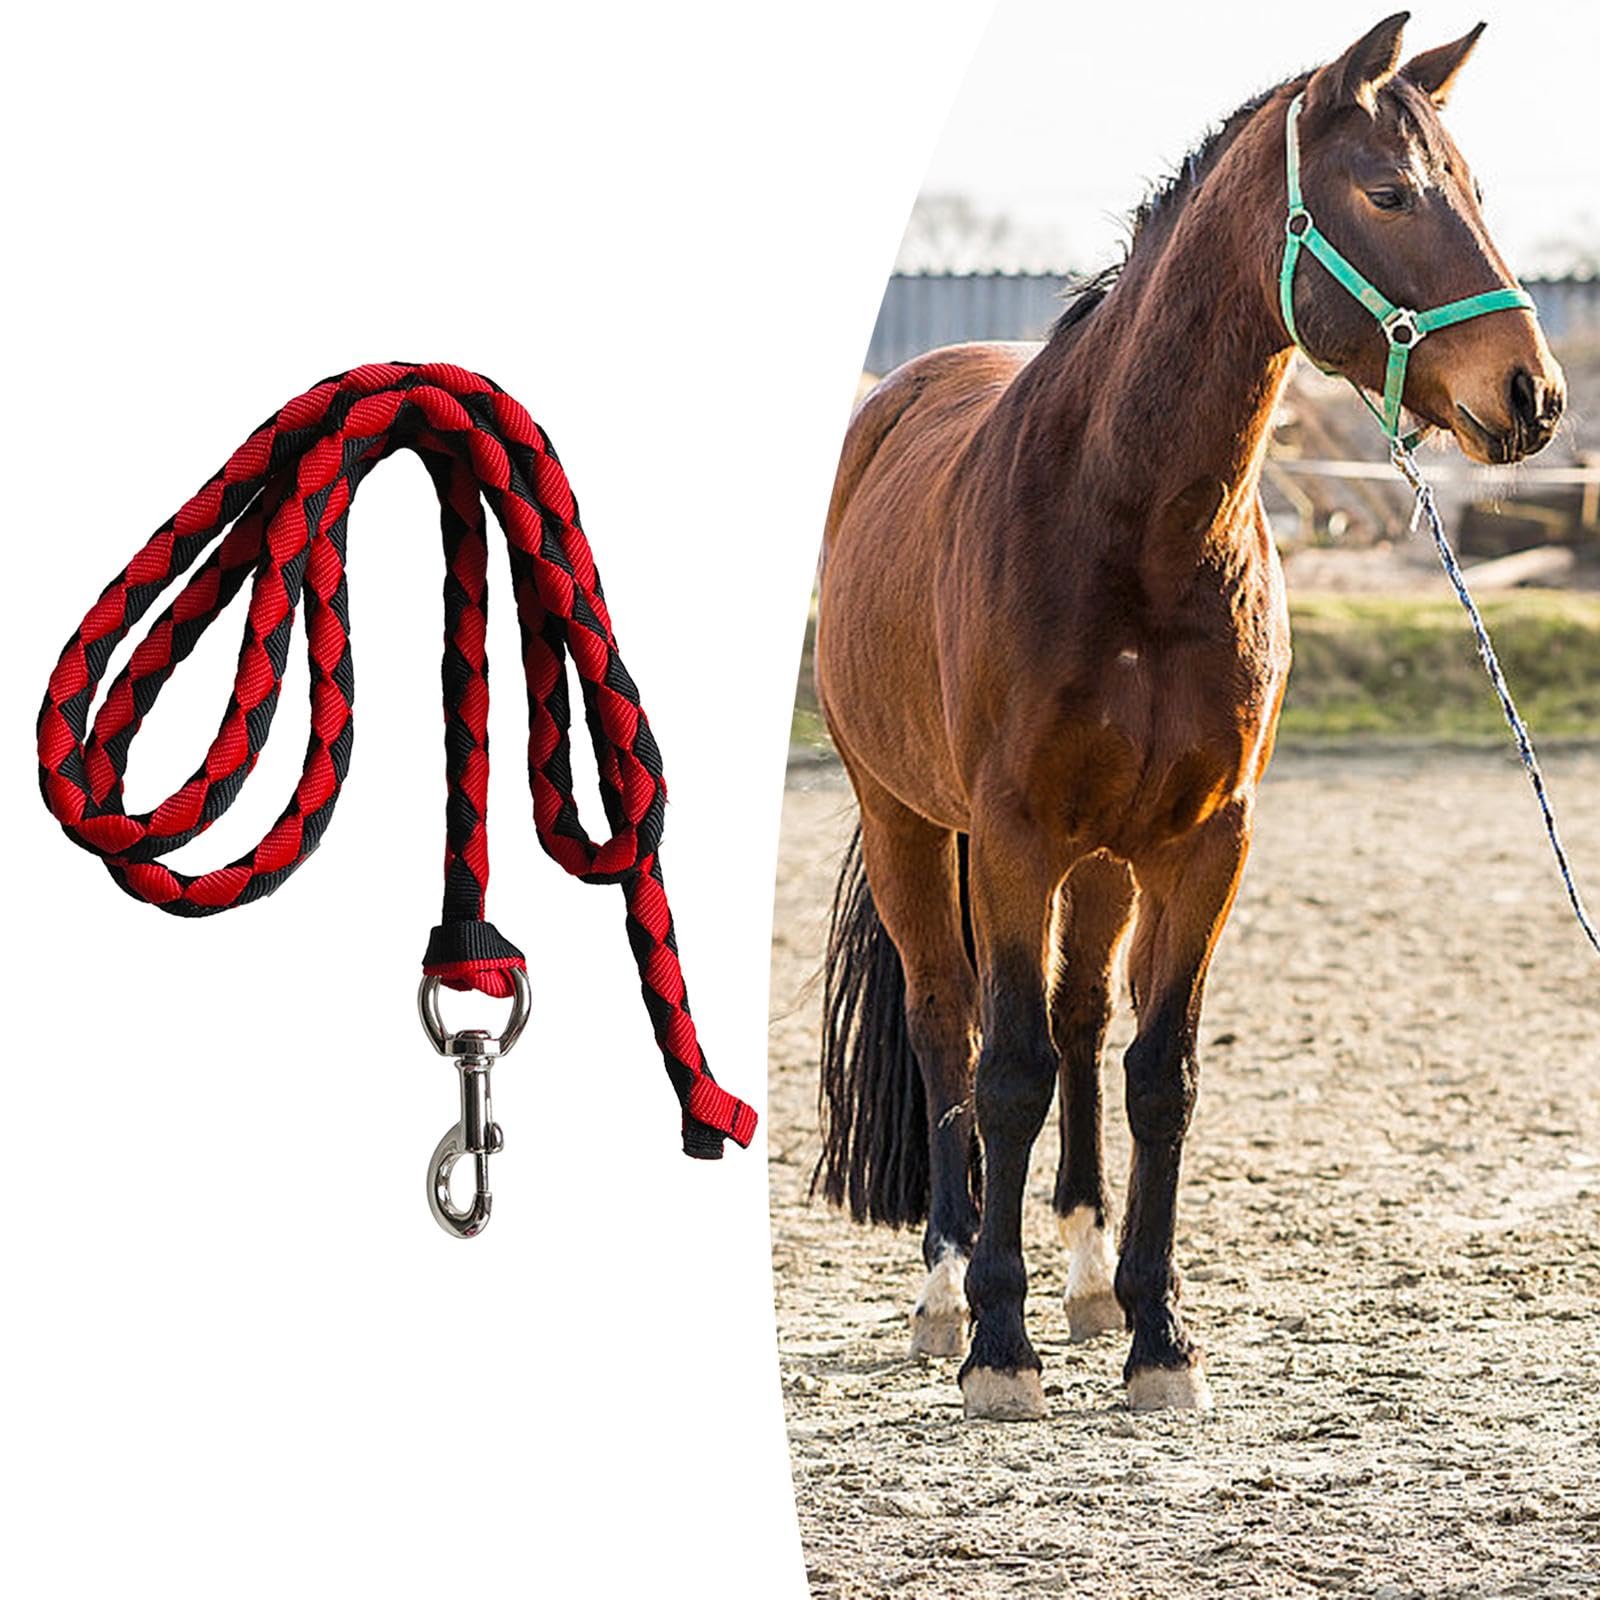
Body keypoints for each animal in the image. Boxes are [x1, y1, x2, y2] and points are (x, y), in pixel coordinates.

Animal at [812, 13, 1565, 1420]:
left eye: (1478, 194)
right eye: (1389, 194)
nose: (1532, 394)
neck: (1132, 526)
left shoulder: (1205, 842)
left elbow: (1157, 1074)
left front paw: (1158, 1334)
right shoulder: (1011, 838)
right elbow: (1003, 1073)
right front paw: (1002, 1348)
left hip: (1106, 862)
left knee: (1076, 1021)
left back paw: (1088, 1276)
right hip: (907, 823)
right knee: (947, 1024)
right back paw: (946, 1290)